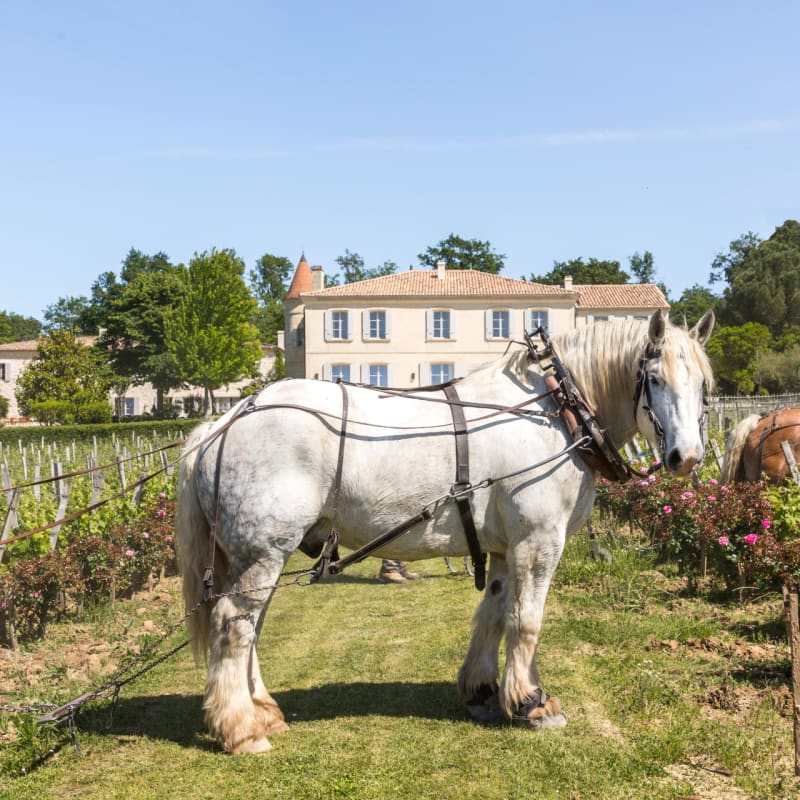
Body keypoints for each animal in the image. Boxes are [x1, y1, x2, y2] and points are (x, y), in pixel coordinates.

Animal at [175, 309, 715, 753]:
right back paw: (241, 729)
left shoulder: (505, 548)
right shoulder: (539, 541)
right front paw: (531, 701)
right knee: (234, 624)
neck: (556, 412)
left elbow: (494, 615)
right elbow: (527, 621)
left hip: (253, 556)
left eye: (704, 385)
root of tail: (225, 420)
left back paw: (263, 711)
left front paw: (483, 691)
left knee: (251, 625)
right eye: (653, 378)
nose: (686, 457)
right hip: (263, 552)